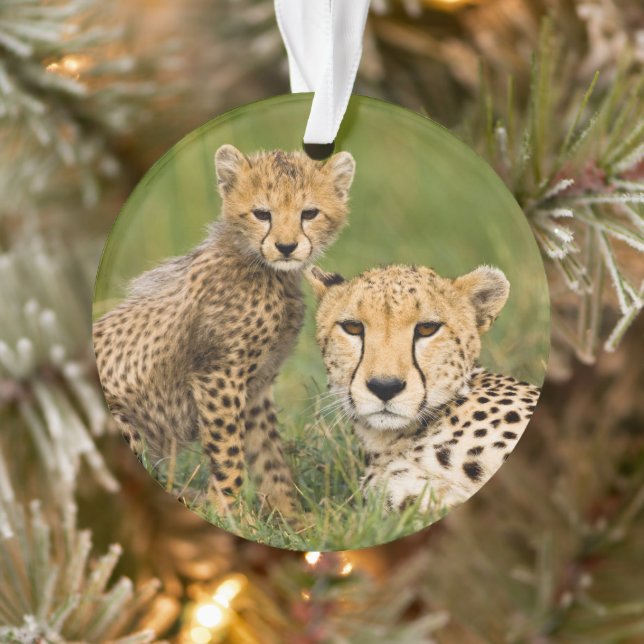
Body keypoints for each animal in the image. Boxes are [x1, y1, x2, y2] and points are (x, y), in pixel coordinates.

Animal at [93, 144, 355, 517]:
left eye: (309, 213)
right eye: (262, 214)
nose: (286, 247)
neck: (266, 271)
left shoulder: (256, 386)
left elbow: (269, 457)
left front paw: (291, 517)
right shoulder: (218, 376)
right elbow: (228, 452)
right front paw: (232, 515)